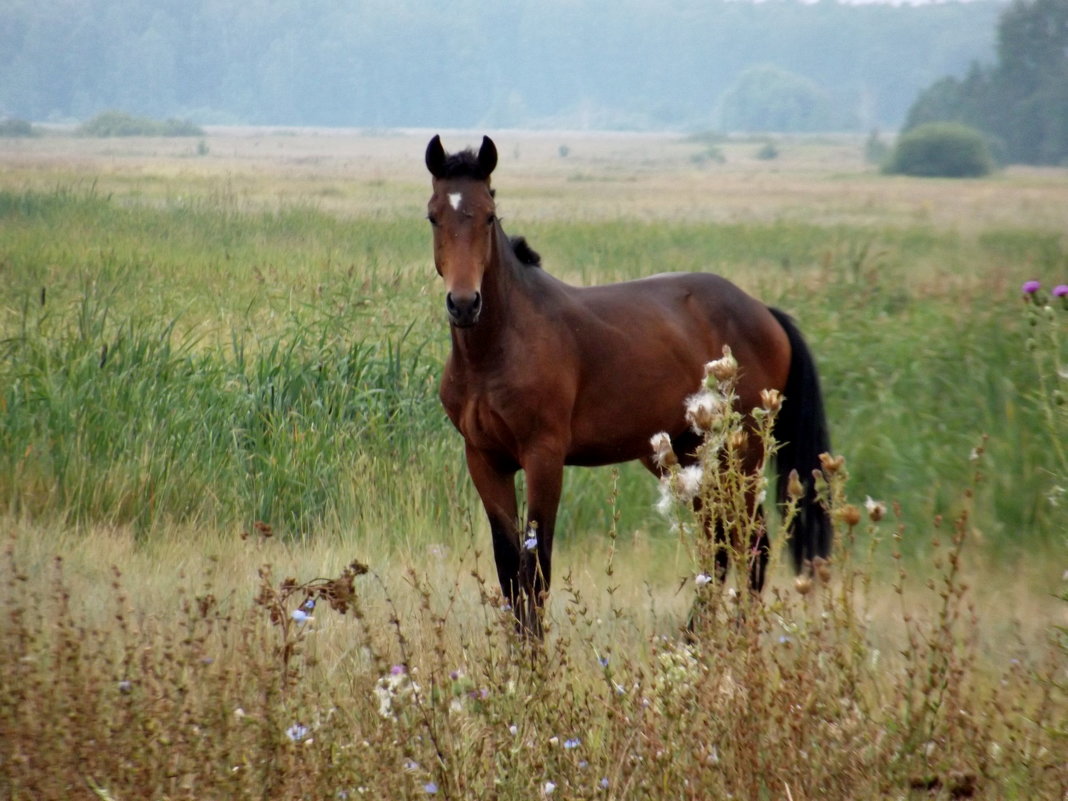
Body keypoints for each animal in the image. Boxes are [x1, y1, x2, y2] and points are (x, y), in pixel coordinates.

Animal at [425, 136, 833, 640]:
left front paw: (536, 657)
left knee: (750, 544)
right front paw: (518, 653)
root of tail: (764, 312)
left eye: (487, 215)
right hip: (690, 453)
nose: (464, 304)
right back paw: (696, 639)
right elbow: (509, 571)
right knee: (718, 545)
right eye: (434, 216)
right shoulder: (484, 460)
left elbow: (536, 567)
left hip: (743, 455)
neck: (498, 347)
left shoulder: (544, 457)